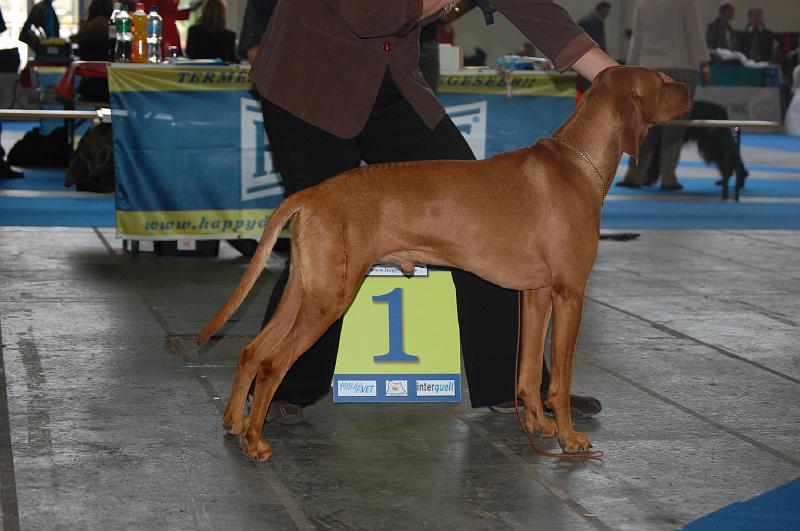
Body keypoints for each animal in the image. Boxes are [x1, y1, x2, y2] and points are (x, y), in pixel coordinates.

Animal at [198, 65, 688, 462]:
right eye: (662, 80)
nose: (691, 88)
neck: (577, 162)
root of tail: (311, 194)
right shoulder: (570, 293)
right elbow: (560, 380)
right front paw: (569, 438)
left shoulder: (536, 293)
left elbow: (529, 372)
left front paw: (538, 425)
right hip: (329, 299)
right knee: (271, 364)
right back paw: (257, 441)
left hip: (306, 289)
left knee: (251, 351)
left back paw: (235, 423)